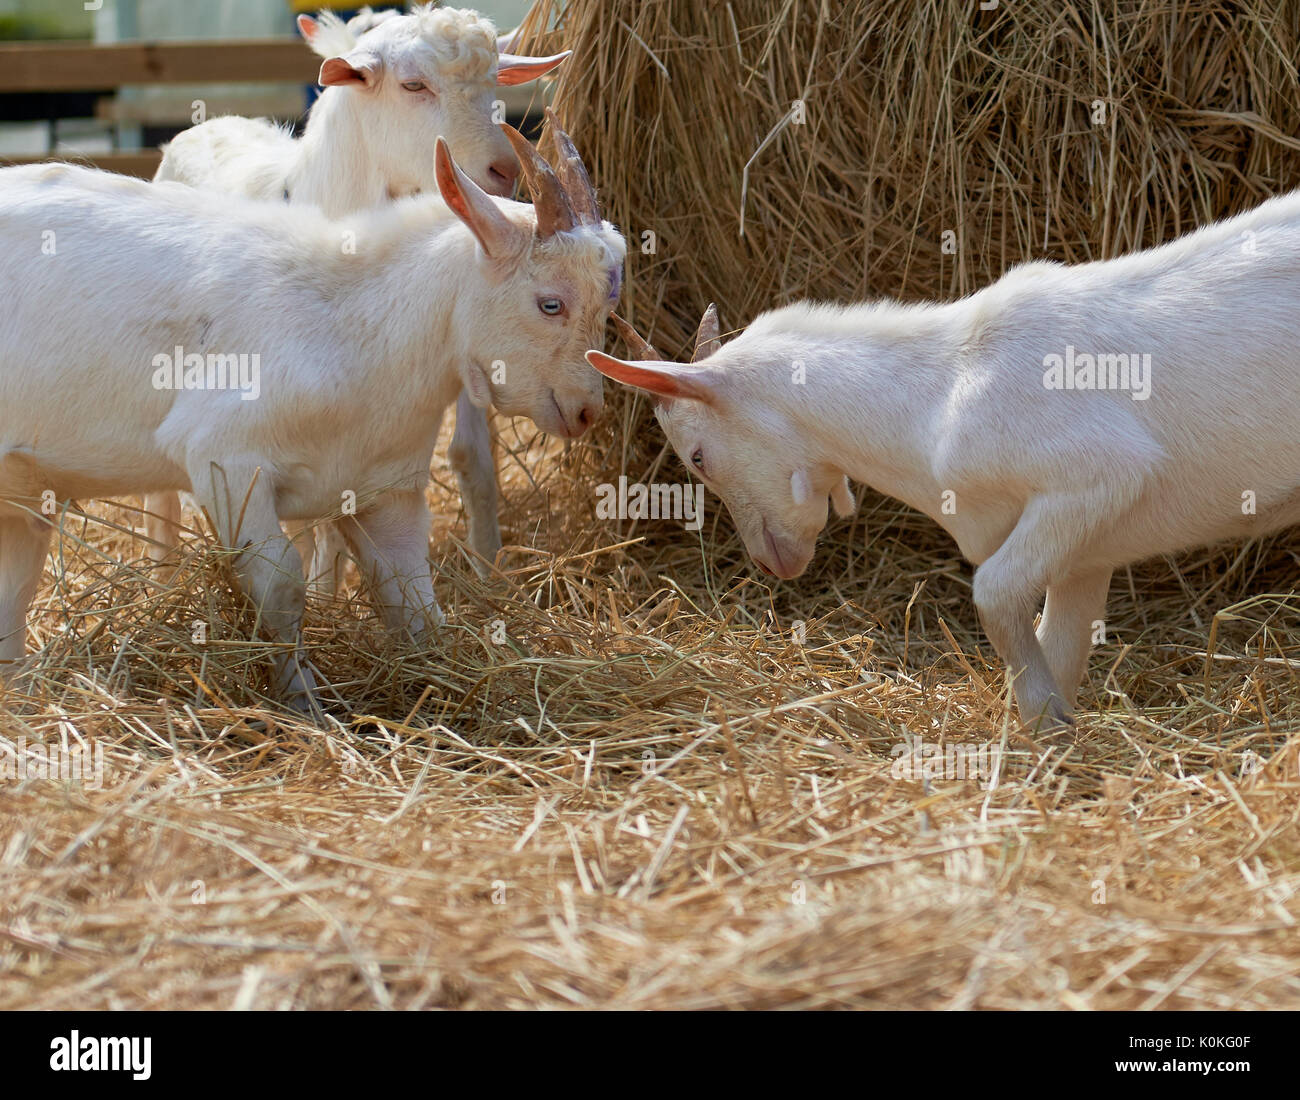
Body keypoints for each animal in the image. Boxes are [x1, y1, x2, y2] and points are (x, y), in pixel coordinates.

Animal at [0, 129, 629, 712]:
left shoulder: (385, 490)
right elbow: (281, 583)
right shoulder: (225, 460)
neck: (354, 324)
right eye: (550, 303)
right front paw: (305, 705)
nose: (586, 410)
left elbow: (413, 601)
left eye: (609, 306)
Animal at [143, 4, 569, 585]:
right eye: (413, 85)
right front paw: (325, 595)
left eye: (496, 85)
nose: (502, 171)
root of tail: (208, 125)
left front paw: (488, 572)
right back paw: (161, 572)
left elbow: (471, 459)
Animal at [595, 196, 1300, 733]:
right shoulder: (1087, 551)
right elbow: (1061, 640)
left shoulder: (1099, 475)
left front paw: (1044, 728)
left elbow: (994, 593)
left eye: (697, 457)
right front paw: (1055, 733)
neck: (941, 390)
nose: (774, 563)